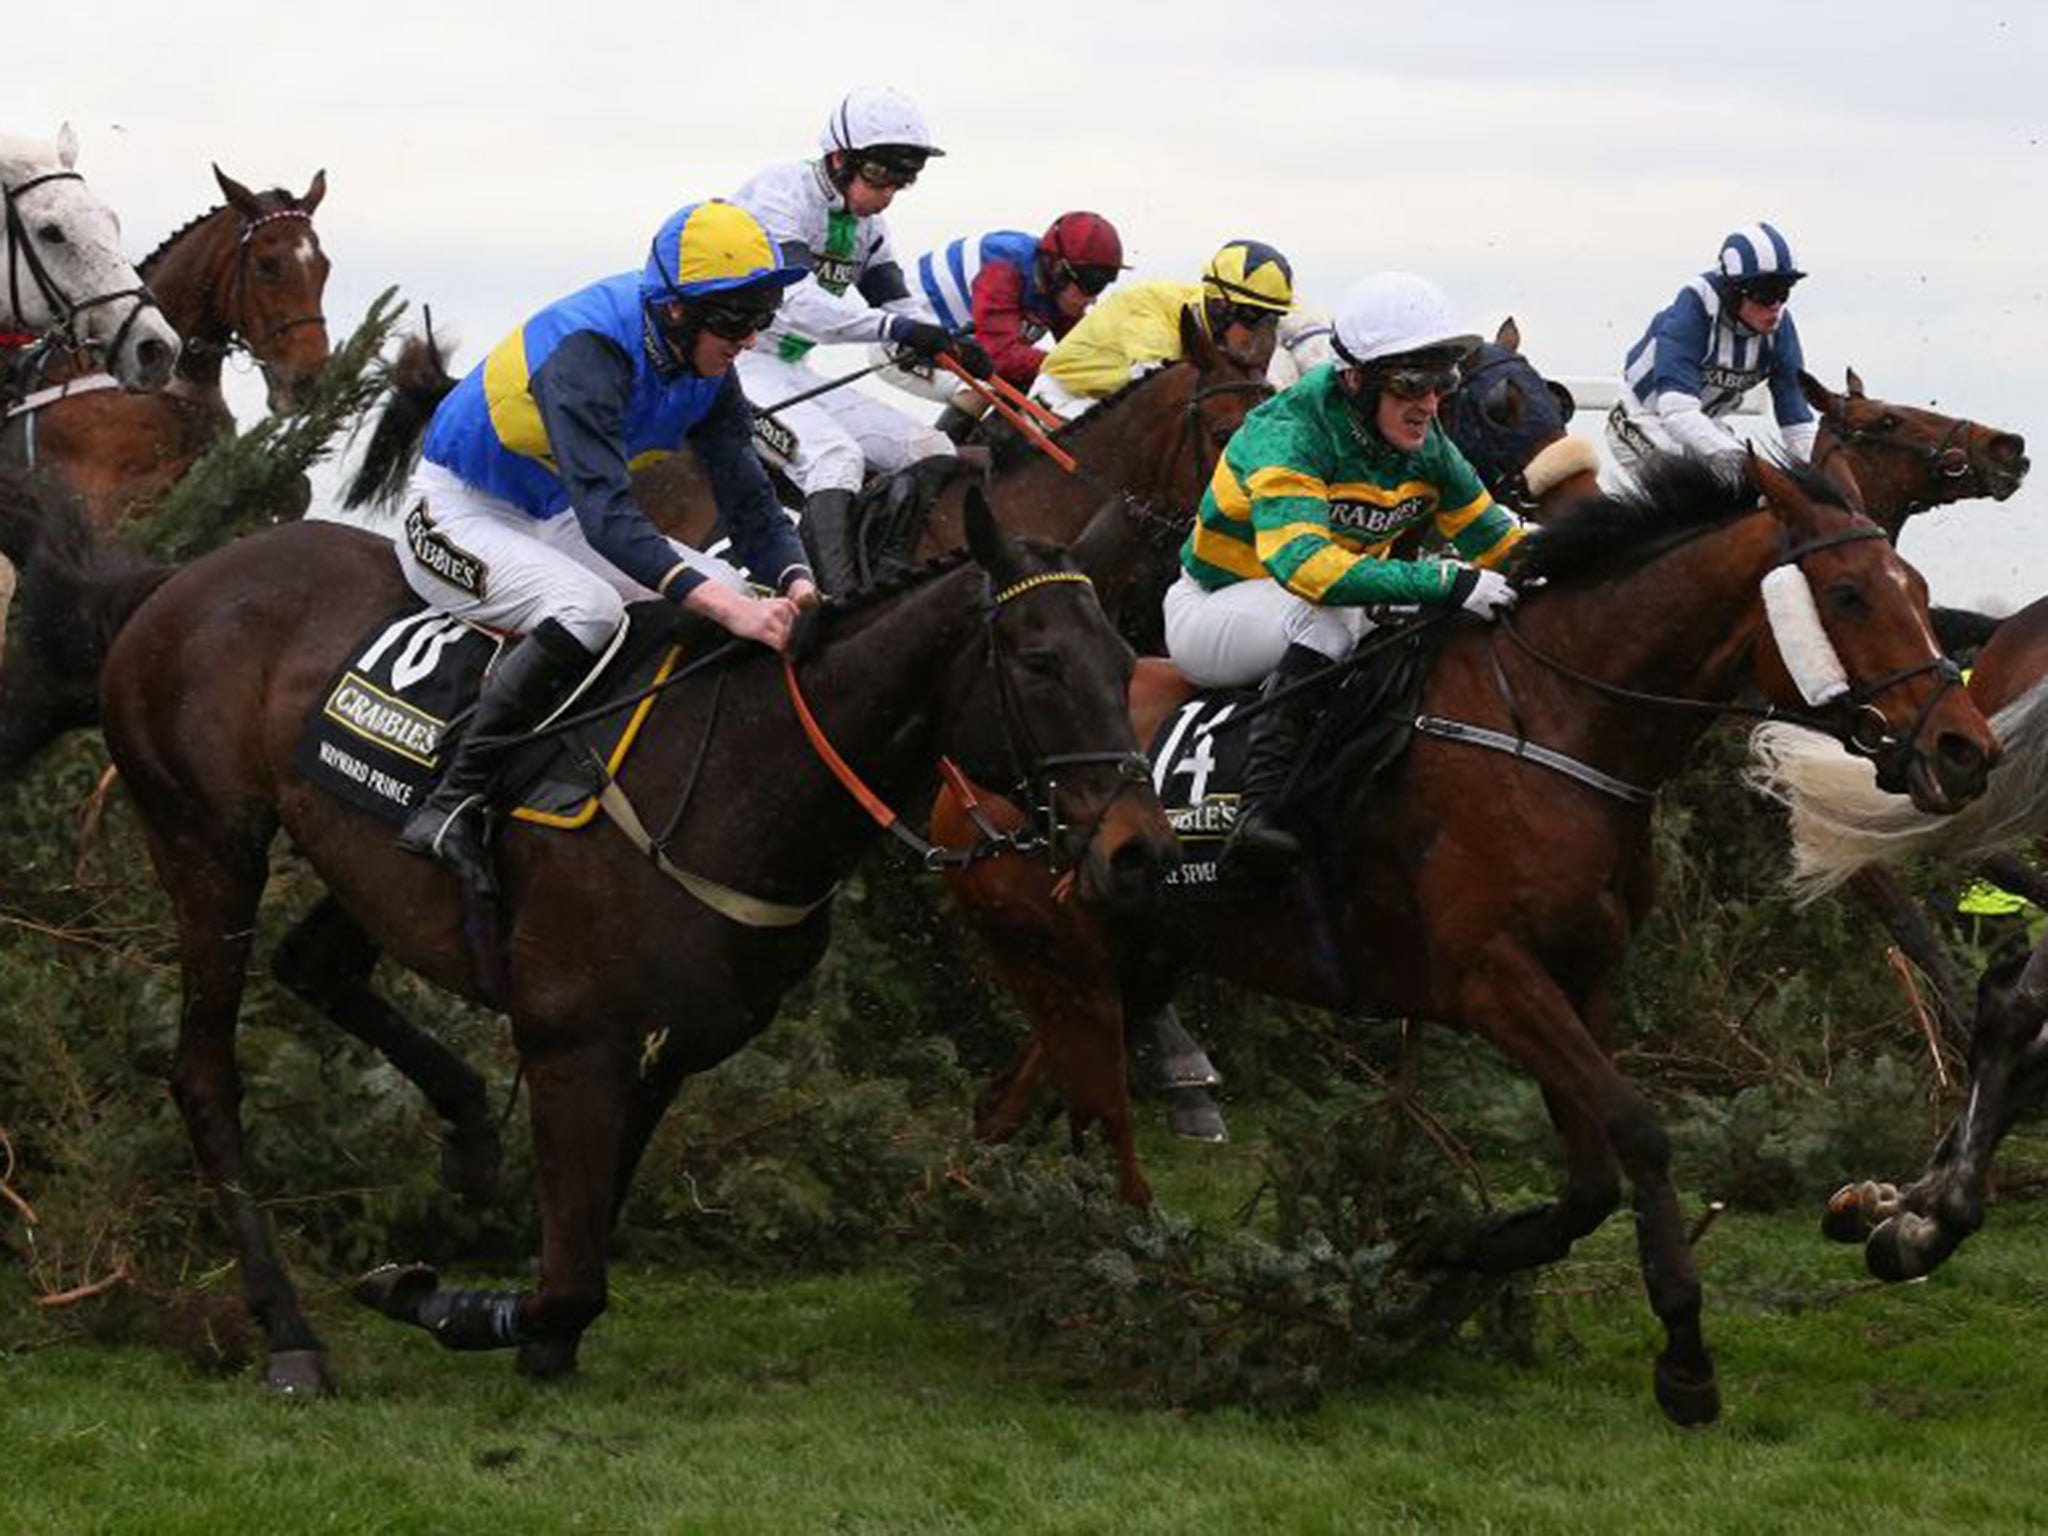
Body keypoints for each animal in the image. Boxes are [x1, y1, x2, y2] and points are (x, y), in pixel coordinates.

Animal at [96, 489, 1179, 1392]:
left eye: (1128, 664)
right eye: (1039, 663)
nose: (1139, 853)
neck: (732, 781)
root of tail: (176, 580)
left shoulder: (670, 1047)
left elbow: (581, 1257)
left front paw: (508, 1318)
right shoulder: (575, 1041)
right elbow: (572, 1279)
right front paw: (429, 1297)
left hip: (359, 862)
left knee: (314, 965)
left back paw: (469, 1135)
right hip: (209, 844)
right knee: (204, 1073)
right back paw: (287, 1331)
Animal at [937, 456, 1990, 1433]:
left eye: (1918, 588)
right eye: (1849, 594)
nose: (1965, 748)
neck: (1556, 726)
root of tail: (966, 774)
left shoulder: (1582, 976)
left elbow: (1588, 1182)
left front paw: (1435, 1254)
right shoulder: (1492, 981)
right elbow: (1639, 1131)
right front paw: (1687, 1362)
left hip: (1138, 965)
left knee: (1013, 1104)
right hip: (1067, 963)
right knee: (1088, 1119)